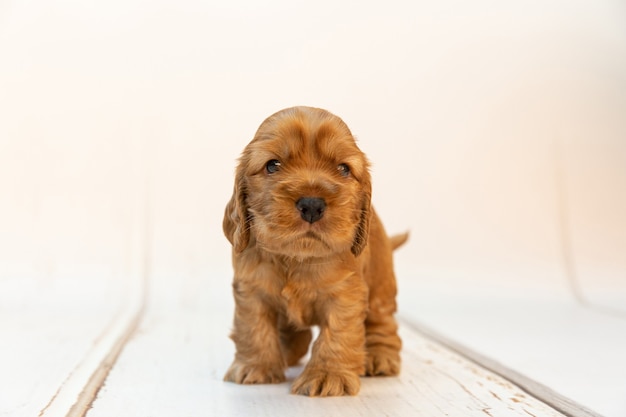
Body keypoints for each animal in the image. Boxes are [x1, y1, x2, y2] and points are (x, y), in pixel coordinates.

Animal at [222, 105, 408, 394]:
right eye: (272, 165)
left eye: (343, 169)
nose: (311, 205)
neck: (298, 258)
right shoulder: (251, 289)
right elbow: (253, 326)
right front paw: (255, 366)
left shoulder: (346, 294)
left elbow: (338, 333)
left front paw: (328, 375)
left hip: (381, 285)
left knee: (383, 323)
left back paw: (378, 355)